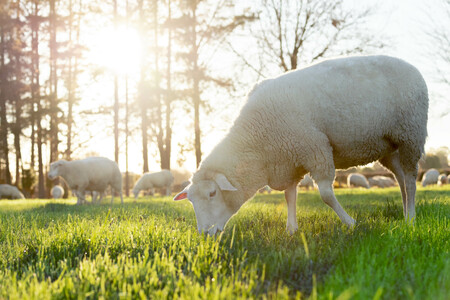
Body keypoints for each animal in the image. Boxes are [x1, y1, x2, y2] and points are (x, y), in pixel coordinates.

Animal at [174, 55, 428, 236]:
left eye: (212, 193)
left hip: (411, 135)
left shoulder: (315, 148)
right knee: (401, 179)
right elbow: (290, 196)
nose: (204, 234)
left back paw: (411, 219)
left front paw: (351, 223)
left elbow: (326, 195)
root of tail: (414, 68)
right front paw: (291, 229)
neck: (258, 144)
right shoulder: (289, 159)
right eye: (191, 200)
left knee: (410, 180)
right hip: (390, 147)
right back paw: (405, 213)